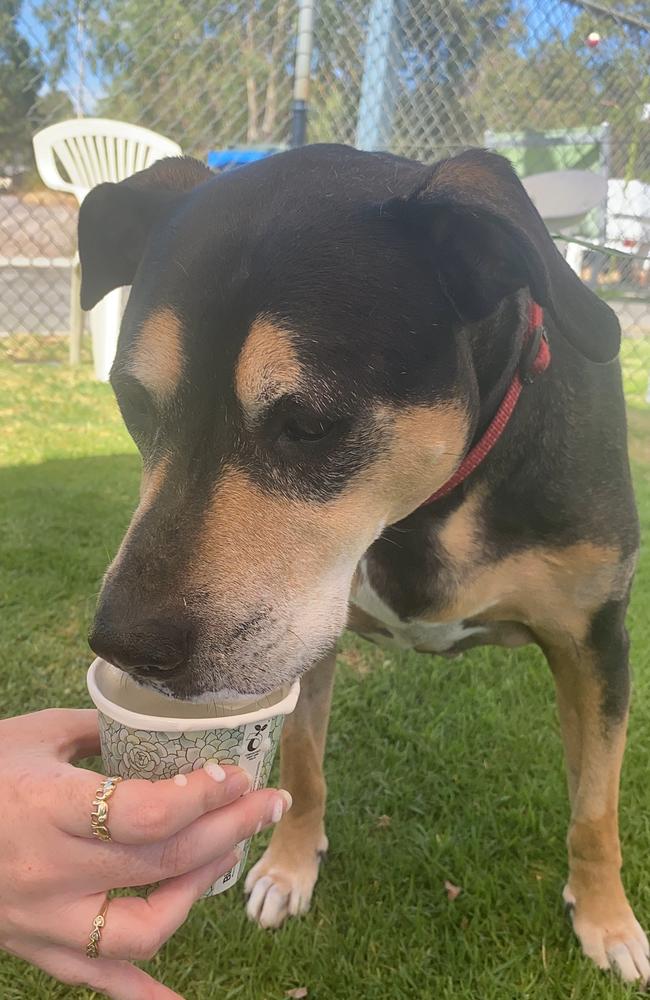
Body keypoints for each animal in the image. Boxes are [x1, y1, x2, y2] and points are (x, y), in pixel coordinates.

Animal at [77, 143, 644, 984]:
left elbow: (595, 808)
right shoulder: (302, 634)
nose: (125, 644)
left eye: (312, 424)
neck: (435, 503)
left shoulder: (596, 642)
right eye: (133, 401)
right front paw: (288, 866)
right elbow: (303, 762)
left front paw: (607, 918)